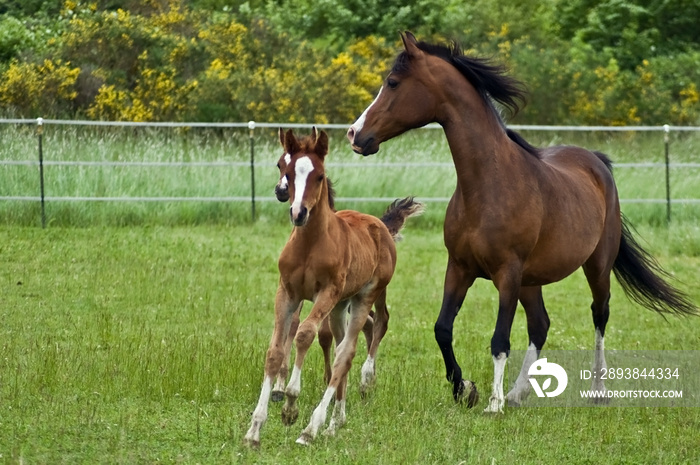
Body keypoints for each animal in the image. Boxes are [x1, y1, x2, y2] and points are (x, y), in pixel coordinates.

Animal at [243, 128, 424, 446]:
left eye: (319, 176)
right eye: (285, 169)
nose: (298, 212)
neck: (310, 244)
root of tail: (379, 224)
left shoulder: (325, 293)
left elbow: (305, 334)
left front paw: (291, 404)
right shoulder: (287, 293)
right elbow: (276, 350)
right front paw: (255, 429)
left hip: (364, 296)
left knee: (349, 350)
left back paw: (313, 427)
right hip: (341, 305)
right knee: (342, 348)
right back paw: (335, 421)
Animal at [344, 31, 696, 410]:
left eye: (393, 82)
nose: (354, 134)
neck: (489, 186)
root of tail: (597, 162)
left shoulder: (507, 274)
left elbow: (499, 340)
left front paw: (492, 403)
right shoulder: (459, 268)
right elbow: (442, 329)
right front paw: (464, 389)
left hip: (596, 267)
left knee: (599, 315)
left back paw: (595, 391)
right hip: (531, 281)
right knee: (541, 323)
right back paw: (519, 392)